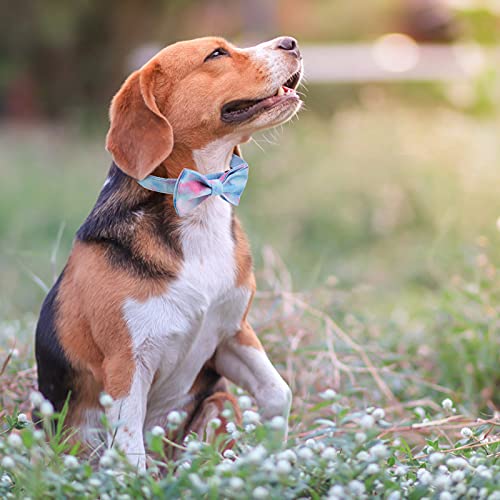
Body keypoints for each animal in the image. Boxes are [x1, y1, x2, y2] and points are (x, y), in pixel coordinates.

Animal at [35, 36, 302, 468]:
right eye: (217, 54)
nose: (291, 43)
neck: (200, 206)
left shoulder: (233, 332)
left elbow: (279, 393)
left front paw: (272, 455)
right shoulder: (127, 365)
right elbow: (130, 450)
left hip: (220, 400)